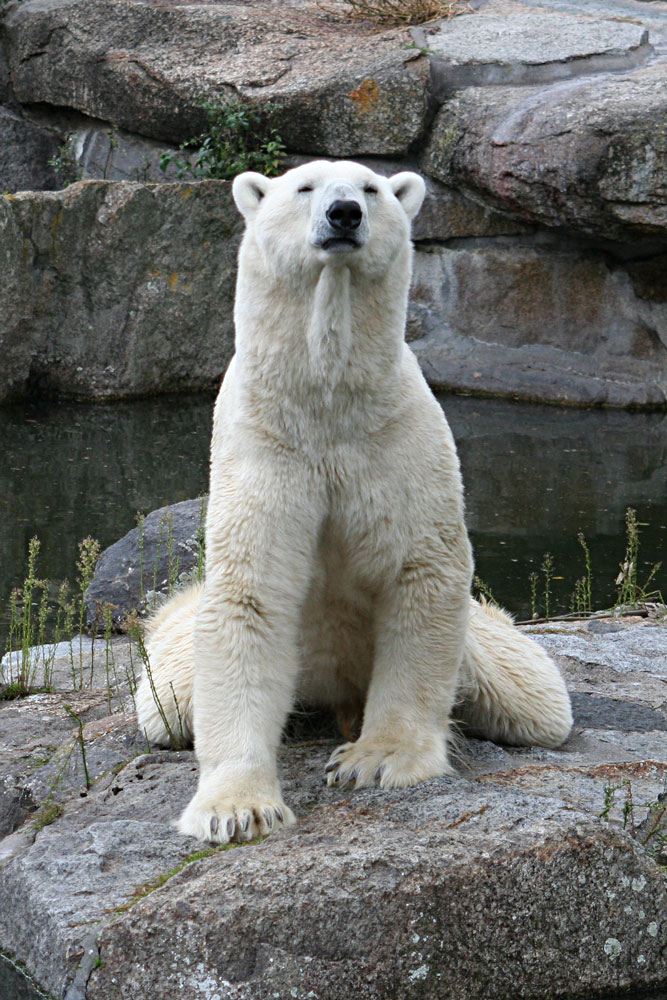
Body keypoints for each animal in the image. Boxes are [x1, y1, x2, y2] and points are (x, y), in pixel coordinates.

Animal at [137, 162, 576, 844]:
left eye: (370, 188)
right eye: (304, 188)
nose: (344, 213)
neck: (325, 402)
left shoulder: (394, 437)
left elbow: (421, 569)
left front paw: (375, 760)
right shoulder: (263, 444)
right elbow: (248, 593)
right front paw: (238, 810)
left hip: (489, 656)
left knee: (540, 701)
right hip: (180, 672)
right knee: (165, 703)